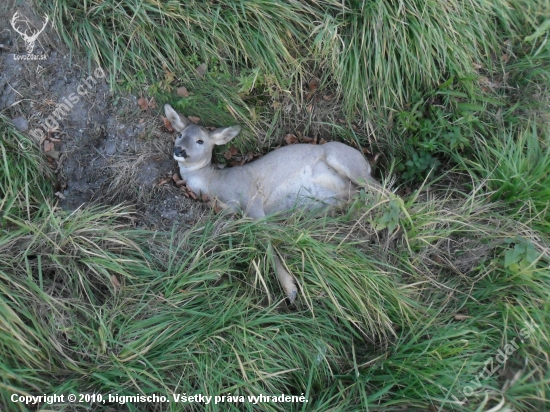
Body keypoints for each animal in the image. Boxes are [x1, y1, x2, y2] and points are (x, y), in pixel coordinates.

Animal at [166, 103, 386, 302]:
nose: (179, 150)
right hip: (346, 192)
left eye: (200, 141)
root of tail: (366, 162)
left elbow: (267, 241)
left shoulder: (251, 196)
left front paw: (290, 289)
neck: (214, 182)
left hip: (347, 163)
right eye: (180, 134)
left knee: (385, 193)